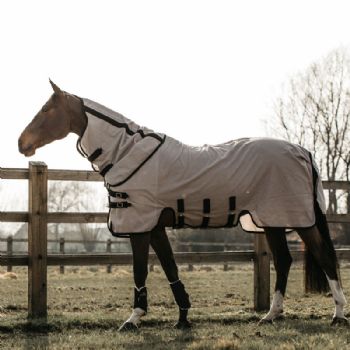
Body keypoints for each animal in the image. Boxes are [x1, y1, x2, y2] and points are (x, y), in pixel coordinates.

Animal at [18, 80, 348, 330]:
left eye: (46, 109)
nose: (22, 143)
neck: (127, 151)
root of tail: (303, 151)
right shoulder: (155, 227)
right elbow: (169, 267)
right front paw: (183, 317)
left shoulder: (140, 227)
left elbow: (141, 270)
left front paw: (133, 319)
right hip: (273, 222)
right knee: (286, 260)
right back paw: (272, 315)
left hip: (292, 218)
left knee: (323, 258)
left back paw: (336, 315)